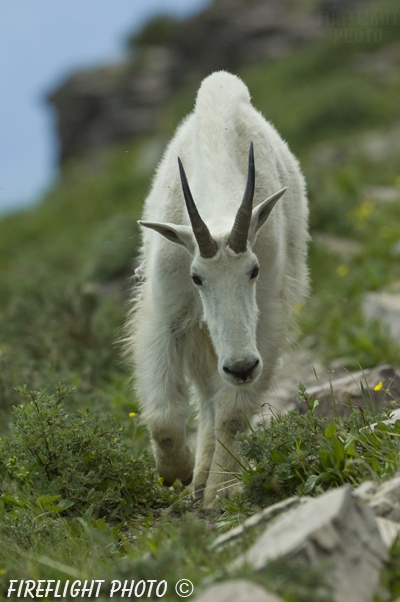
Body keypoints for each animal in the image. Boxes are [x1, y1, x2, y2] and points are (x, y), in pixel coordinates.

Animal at [125, 71, 310, 510]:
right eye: (196, 277)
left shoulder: (266, 321)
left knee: (215, 400)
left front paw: (222, 490)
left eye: (254, 269)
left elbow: (232, 414)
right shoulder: (167, 312)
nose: (240, 367)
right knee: (206, 392)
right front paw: (175, 472)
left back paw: (207, 476)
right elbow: (166, 417)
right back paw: (196, 474)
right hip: (201, 335)